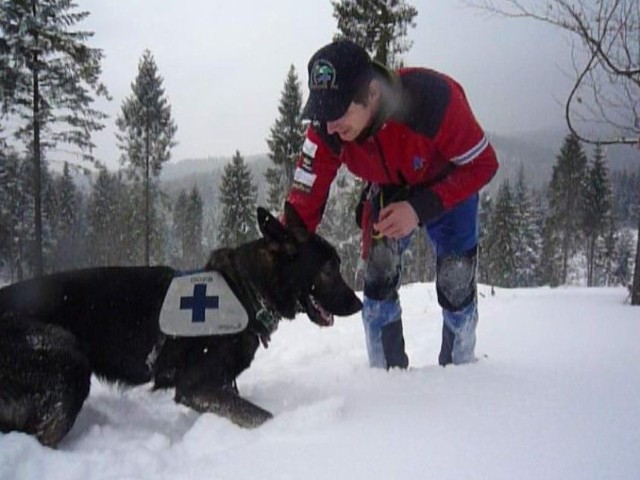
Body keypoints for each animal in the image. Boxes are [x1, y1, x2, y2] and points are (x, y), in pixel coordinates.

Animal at [0, 205, 362, 446]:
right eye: (328, 269)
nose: (359, 305)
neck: (246, 289)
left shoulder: (216, 387)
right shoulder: (195, 387)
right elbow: (261, 417)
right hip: (68, 361)